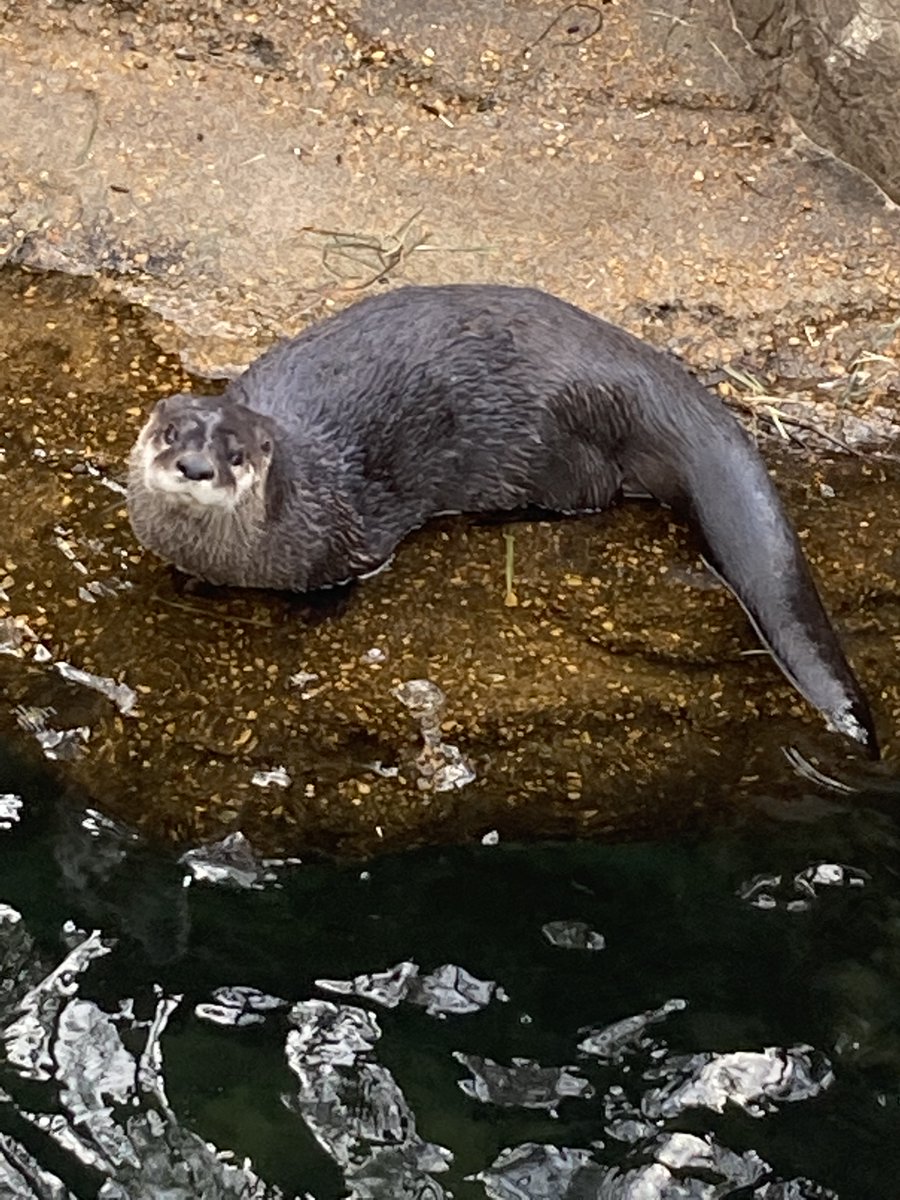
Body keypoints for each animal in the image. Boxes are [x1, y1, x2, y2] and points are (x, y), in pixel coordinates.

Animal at [127, 284, 878, 755]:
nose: (195, 466)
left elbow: (344, 577)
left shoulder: (348, 532)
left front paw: (312, 613)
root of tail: (626, 364)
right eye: (170, 435)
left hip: (549, 443)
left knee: (590, 495)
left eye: (235, 454)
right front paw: (183, 582)